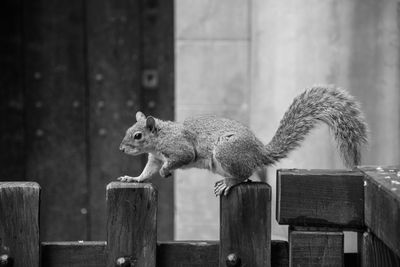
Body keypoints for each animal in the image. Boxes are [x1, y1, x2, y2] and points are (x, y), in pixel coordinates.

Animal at [118, 86, 368, 197]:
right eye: (128, 130)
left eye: (138, 136)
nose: (121, 148)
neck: (160, 137)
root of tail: (259, 153)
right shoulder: (154, 158)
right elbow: (147, 172)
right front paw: (134, 178)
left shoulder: (180, 148)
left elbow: (183, 157)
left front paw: (166, 172)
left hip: (226, 152)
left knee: (244, 175)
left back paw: (229, 182)